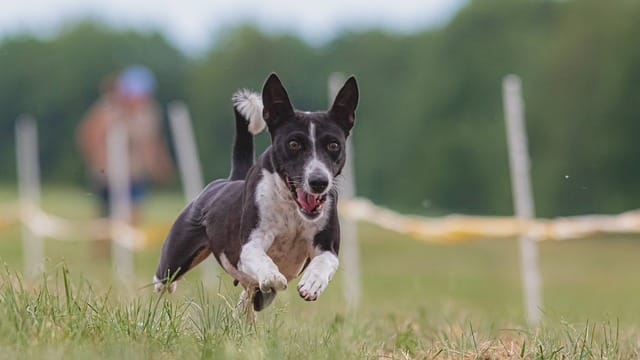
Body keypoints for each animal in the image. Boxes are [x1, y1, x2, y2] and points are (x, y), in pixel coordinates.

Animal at [152, 72, 358, 312]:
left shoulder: (327, 246)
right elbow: (261, 260)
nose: (319, 182)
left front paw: (312, 282)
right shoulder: (250, 245)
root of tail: (231, 180)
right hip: (174, 258)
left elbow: (326, 260)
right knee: (162, 281)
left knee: (249, 297)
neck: (292, 209)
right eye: (294, 144)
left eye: (333, 145)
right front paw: (271, 276)